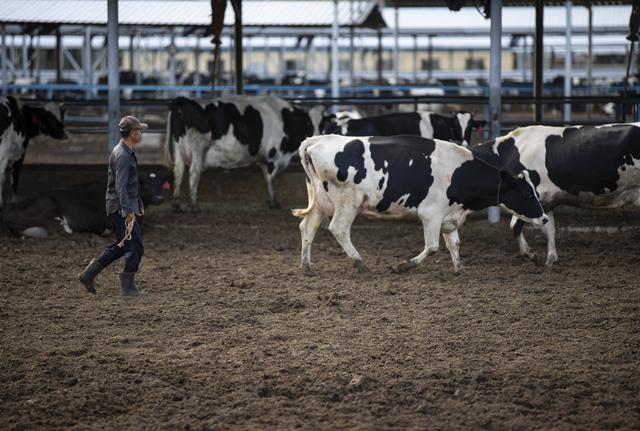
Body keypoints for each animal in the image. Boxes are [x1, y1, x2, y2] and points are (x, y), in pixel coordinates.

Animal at [165, 96, 316, 211]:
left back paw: (176, 204)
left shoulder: (264, 159)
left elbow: (267, 179)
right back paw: (194, 205)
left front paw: (270, 201)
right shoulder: (273, 157)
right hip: (198, 148)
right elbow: (271, 179)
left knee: (178, 171)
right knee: (194, 173)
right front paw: (274, 202)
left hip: (178, 148)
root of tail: (183, 100)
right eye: (311, 125)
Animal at [292, 135, 548, 276]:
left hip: (320, 201)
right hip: (347, 201)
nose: (544, 218)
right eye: (526, 194)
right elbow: (433, 247)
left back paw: (306, 265)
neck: (458, 172)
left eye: (535, 192)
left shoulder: (449, 215)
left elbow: (454, 243)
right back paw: (360, 263)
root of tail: (316, 141)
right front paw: (403, 266)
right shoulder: (431, 214)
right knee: (338, 229)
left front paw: (459, 268)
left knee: (308, 227)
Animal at [472, 122, 640, 266]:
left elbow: (515, 225)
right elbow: (549, 228)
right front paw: (552, 258)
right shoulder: (547, 201)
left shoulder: (531, 197)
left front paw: (530, 254)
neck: (509, 154)